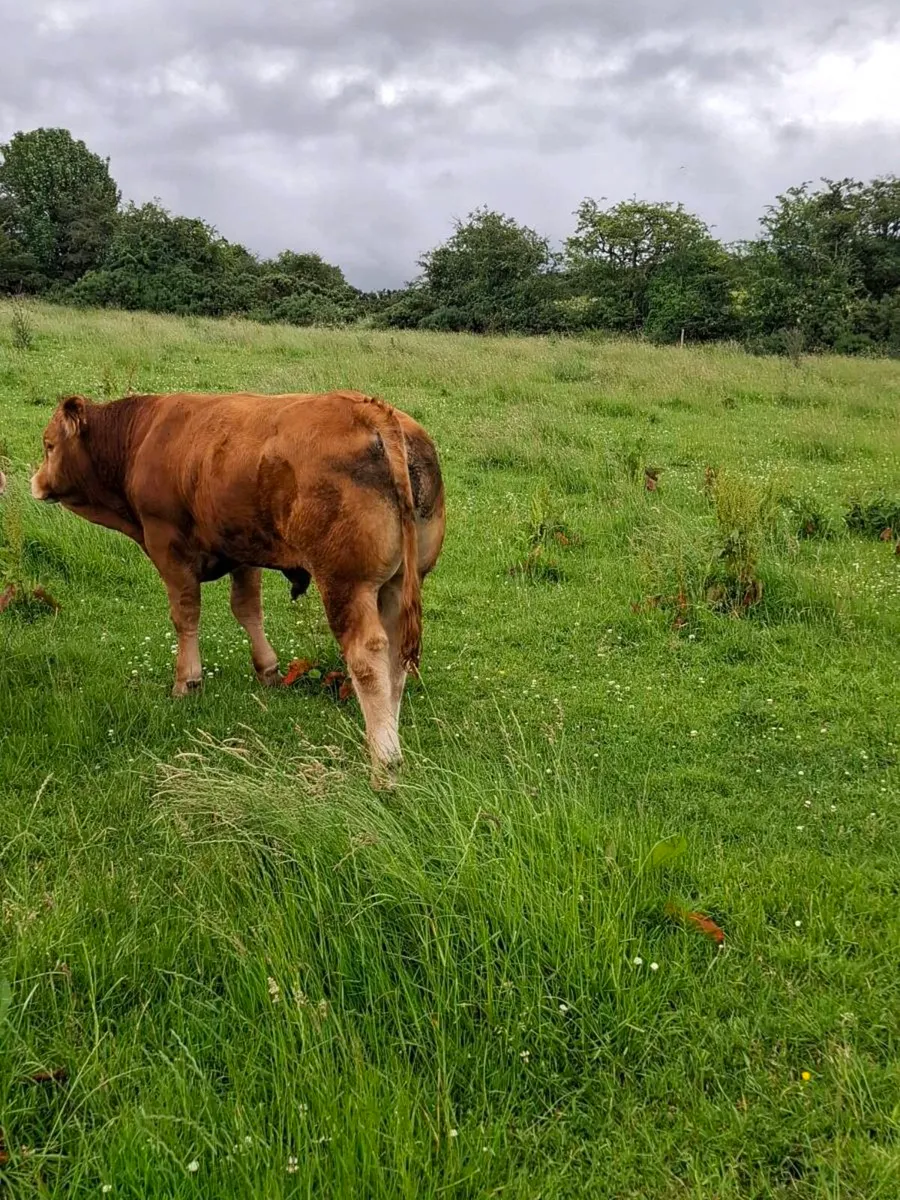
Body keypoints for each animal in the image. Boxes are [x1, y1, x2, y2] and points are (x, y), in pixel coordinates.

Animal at [30, 389, 445, 784]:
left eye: (49, 444)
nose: (35, 482)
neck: (143, 435)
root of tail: (370, 409)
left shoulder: (168, 547)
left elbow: (185, 615)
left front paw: (187, 681)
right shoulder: (244, 550)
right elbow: (247, 609)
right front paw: (268, 671)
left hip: (346, 584)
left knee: (367, 659)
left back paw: (384, 763)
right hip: (397, 584)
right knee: (396, 657)